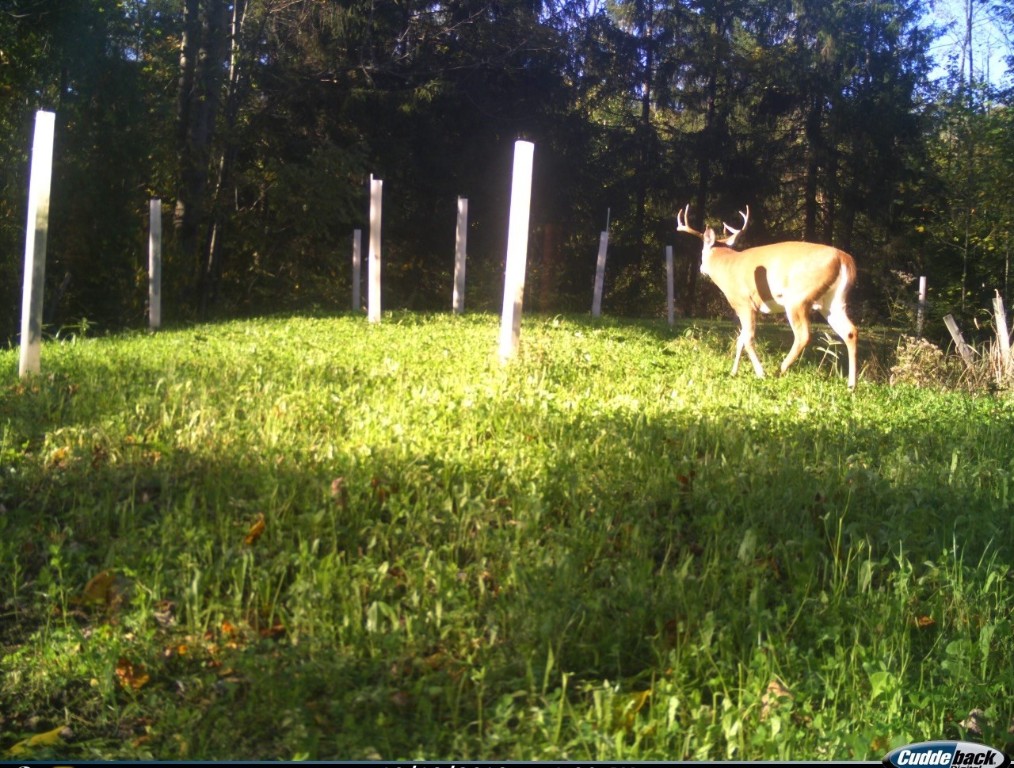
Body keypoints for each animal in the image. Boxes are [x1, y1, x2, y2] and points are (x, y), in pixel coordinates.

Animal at [677, 203, 859, 389]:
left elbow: (747, 339)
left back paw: (780, 370)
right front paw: (733, 372)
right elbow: (740, 339)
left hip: (797, 299)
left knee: (803, 335)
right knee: (850, 331)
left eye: (702, 253)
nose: (701, 269)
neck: (727, 266)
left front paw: (760, 373)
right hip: (832, 302)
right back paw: (851, 385)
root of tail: (844, 259)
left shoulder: (745, 303)